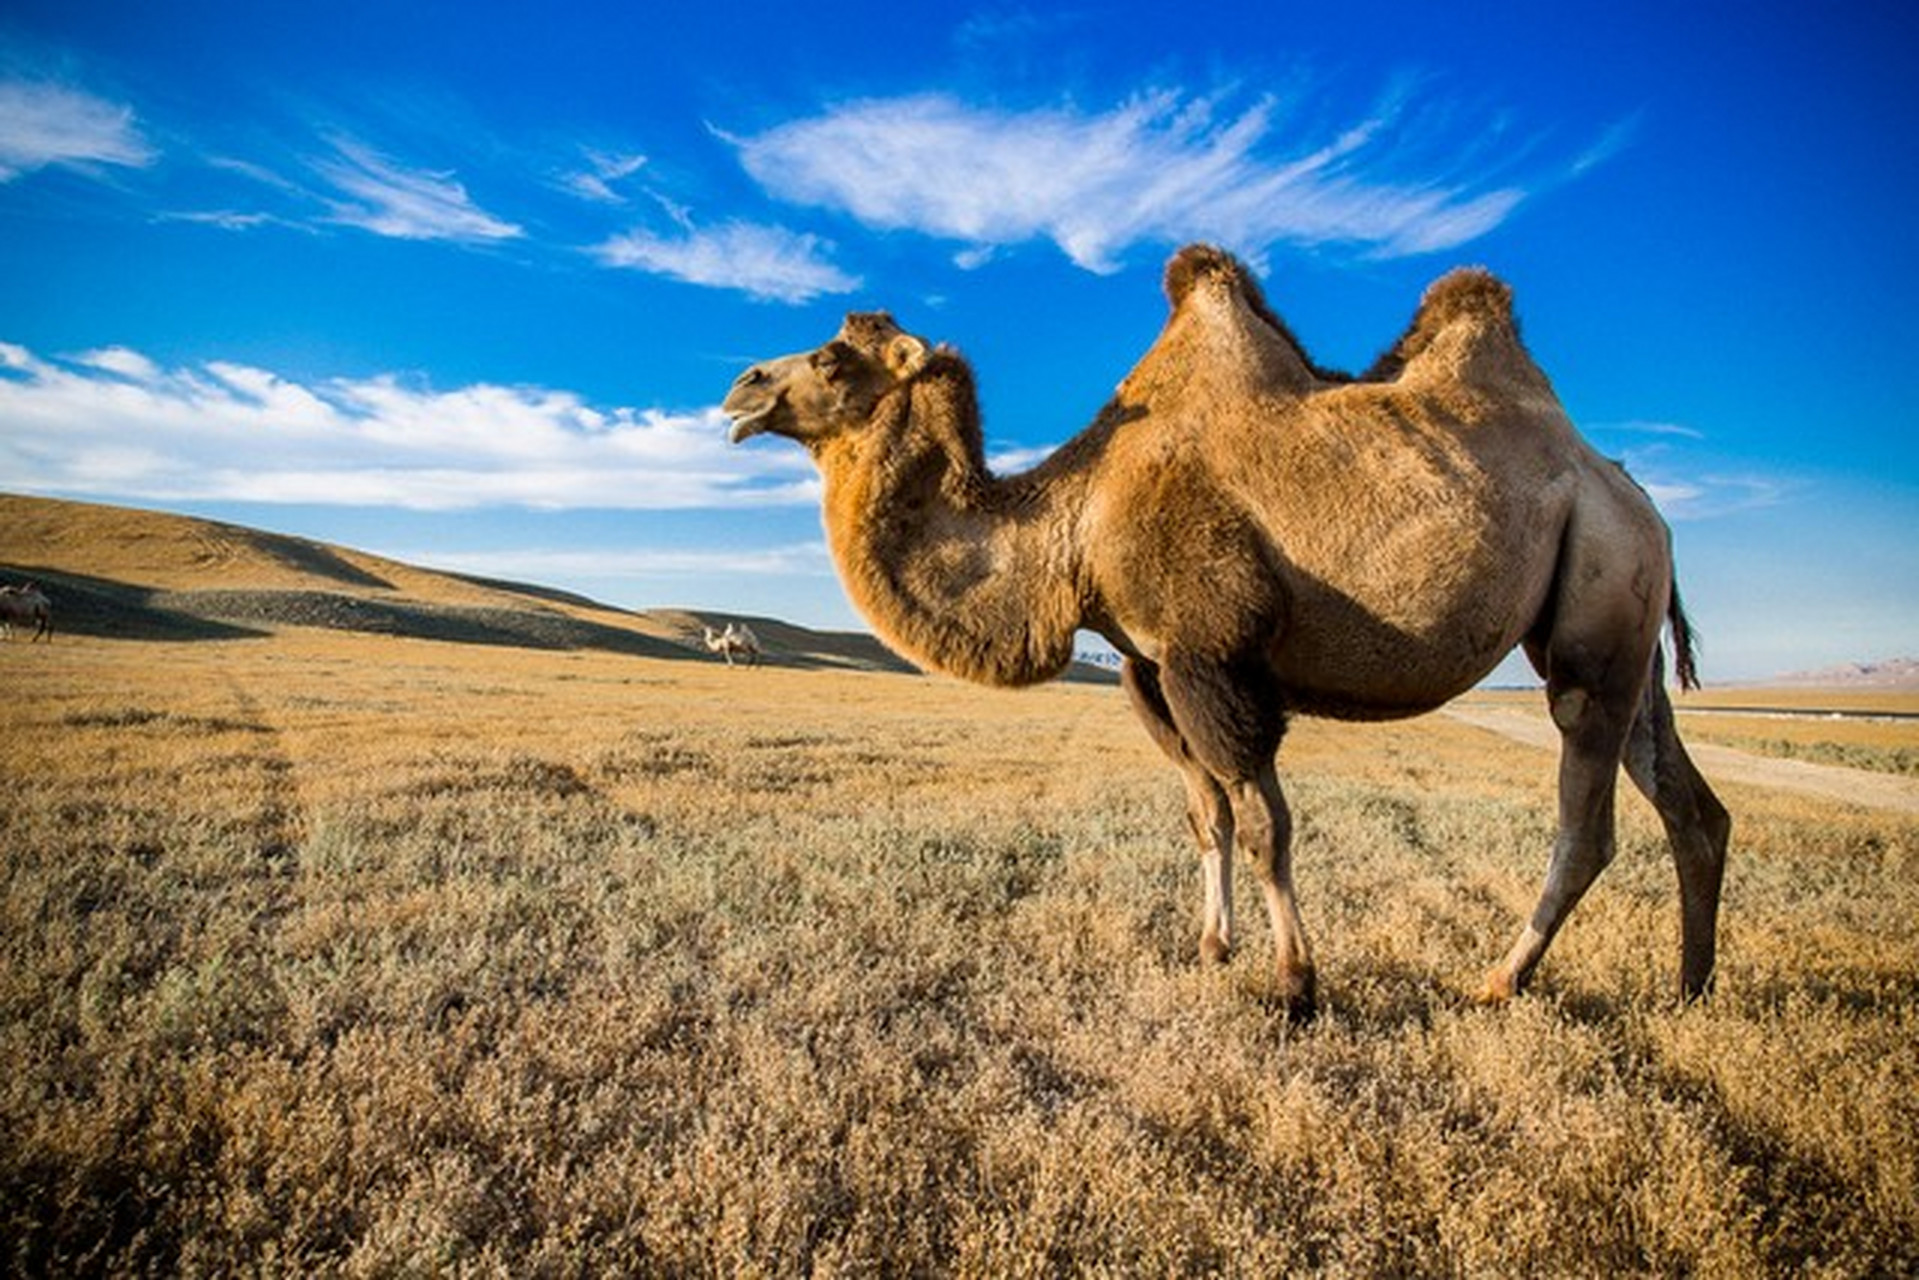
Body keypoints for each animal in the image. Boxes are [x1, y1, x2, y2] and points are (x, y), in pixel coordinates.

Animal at [725, 245, 1734, 1013]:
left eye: (832, 358)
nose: (739, 386)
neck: (1074, 524)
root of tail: (1633, 493)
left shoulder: (1211, 655)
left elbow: (1261, 824)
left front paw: (1295, 985)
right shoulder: (1148, 666)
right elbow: (1203, 814)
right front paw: (1211, 948)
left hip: (1596, 611)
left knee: (1585, 822)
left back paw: (1497, 981)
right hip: (1620, 628)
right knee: (1690, 804)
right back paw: (1689, 989)